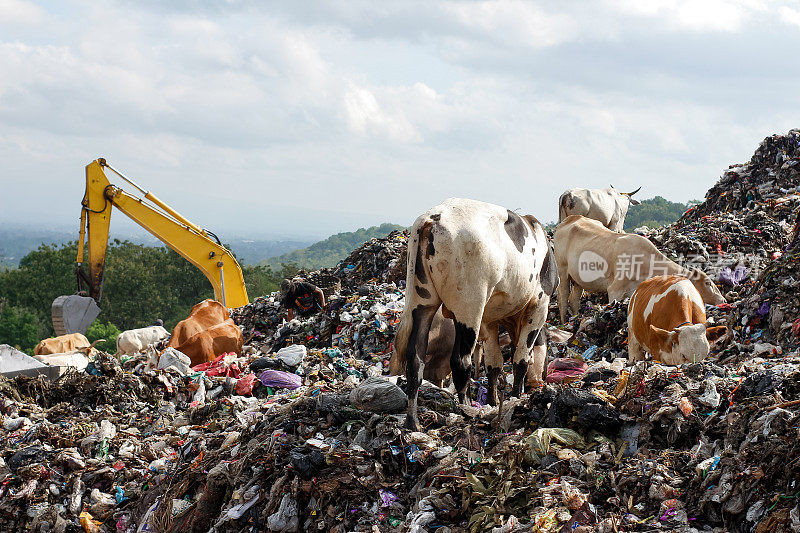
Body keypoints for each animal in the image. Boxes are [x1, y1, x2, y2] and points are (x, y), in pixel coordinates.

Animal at [392, 197, 556, 430]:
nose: (540, 382)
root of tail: (433, 217)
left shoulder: (490, 320)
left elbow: (494, 364)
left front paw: (494, 402)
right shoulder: (539, 305)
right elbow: (521, 359)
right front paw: (516, 399)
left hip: (421, 302)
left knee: (415, 359)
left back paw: (412, 421)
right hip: (469, 306)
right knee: (460, 361)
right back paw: (467, 411)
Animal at [552, 214, 728, 322]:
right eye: (707, 283)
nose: (724, 300)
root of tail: (573, 218)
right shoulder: (615, 289)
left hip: (577, 279)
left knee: (574, 299)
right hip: (562, 270)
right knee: (562, 297)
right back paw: (564, 323)